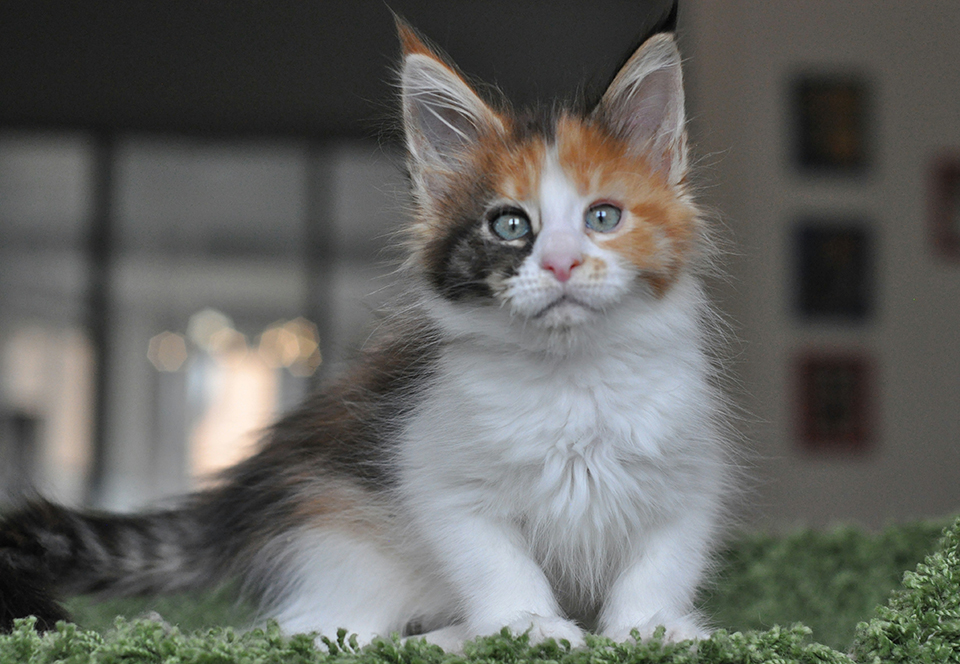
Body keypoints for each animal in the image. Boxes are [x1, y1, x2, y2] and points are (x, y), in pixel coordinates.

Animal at [0, 7, 736, 652]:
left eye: (603, 217)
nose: (559, 262)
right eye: (510, 224)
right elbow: (498, 563)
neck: (572, 375)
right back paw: (448, 637)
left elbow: (660, 564)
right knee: (323, 631)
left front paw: (652, 630)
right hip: (340, 534)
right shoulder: (441, 477)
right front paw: (529, 626)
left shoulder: (687, 477)